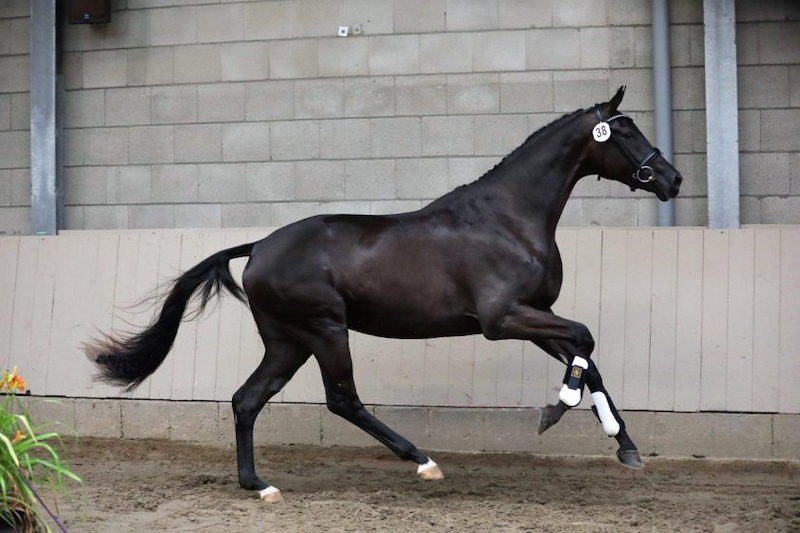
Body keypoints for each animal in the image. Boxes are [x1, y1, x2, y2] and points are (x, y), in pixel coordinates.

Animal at [86, 86, 682, 502]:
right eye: (625, 133)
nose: (672, 179)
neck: (508, 218)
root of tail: (259, 247)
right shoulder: (503, 318)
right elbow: (585, 338)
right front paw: (556, 412)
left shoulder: (536, 314)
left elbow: (586, 353)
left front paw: (625, 445)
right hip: (325, 330)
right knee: (341, 399)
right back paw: (422, 461)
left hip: (287, 341)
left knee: (247, 399)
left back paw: (259, 485)